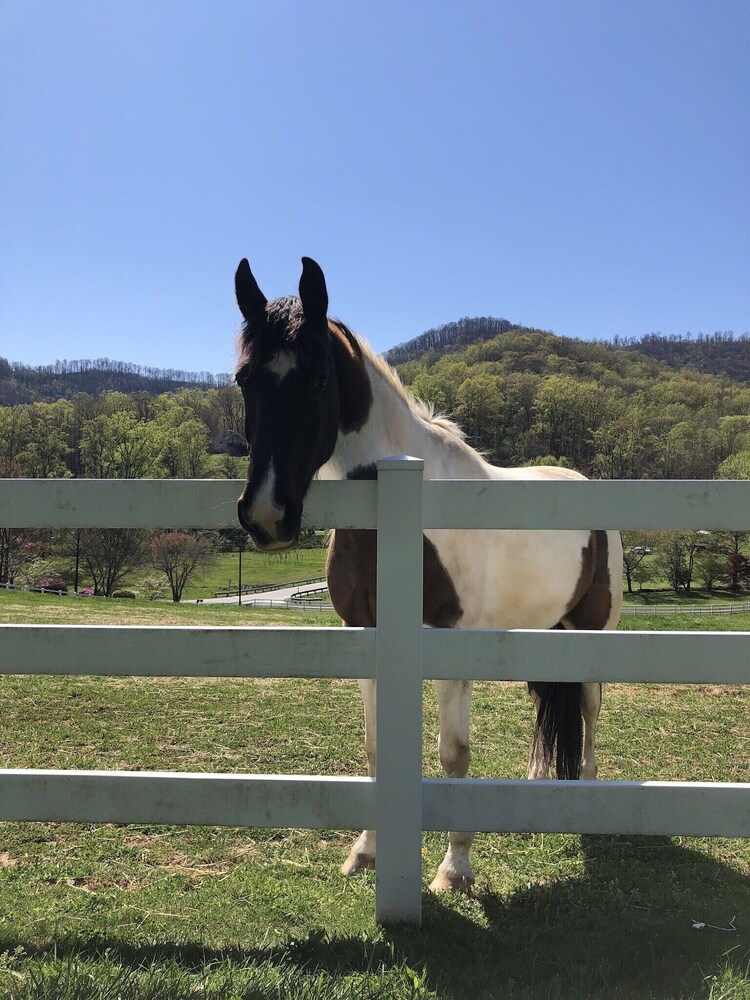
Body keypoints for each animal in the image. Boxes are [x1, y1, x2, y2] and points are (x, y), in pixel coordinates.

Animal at [234, 256, 624, 892]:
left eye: (317, 380)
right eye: (245, 380)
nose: (268, 514)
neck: (405, 503)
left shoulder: (448, 640)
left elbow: (453, 754)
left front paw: (454, 867)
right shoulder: (365, 633)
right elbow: (375, 746)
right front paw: (367, 851)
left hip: (594, 633)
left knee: (590, 708)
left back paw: (588, 805)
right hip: (546, 631)